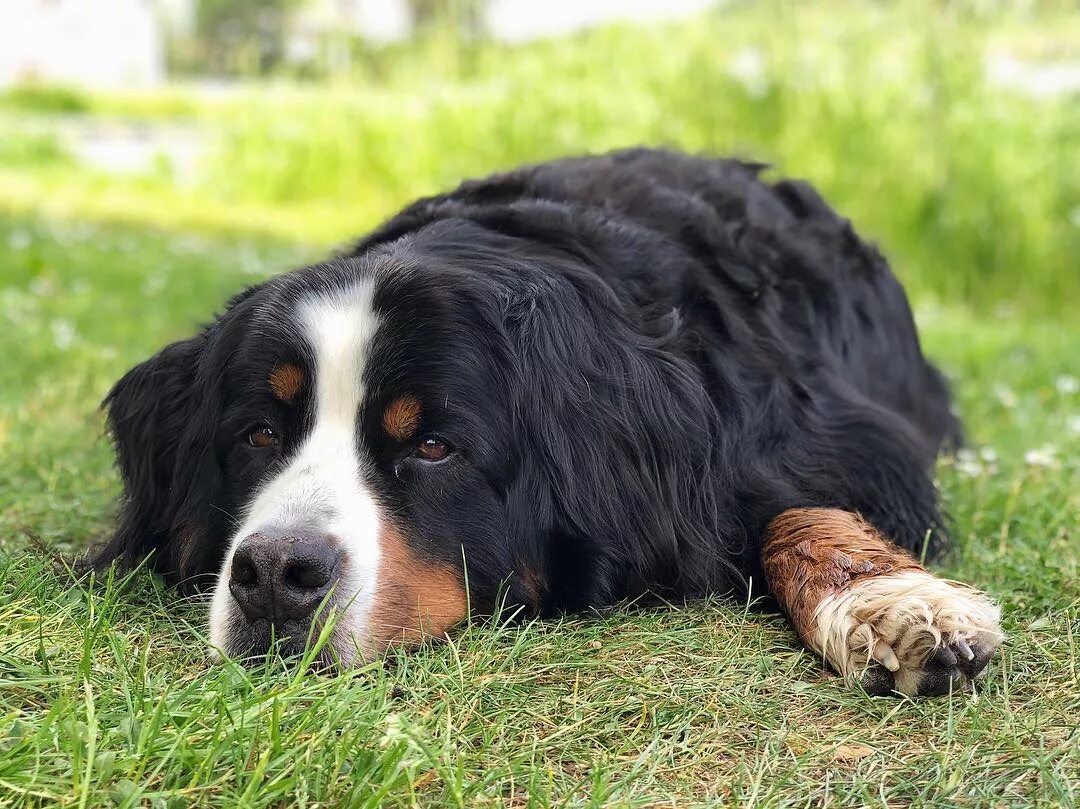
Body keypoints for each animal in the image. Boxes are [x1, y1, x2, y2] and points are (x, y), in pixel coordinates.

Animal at [92, 146, 1002, 695]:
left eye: (433, 445)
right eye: (259, 435)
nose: (276, 572)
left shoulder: (814, 431)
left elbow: (803, 508)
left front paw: (895, 605)